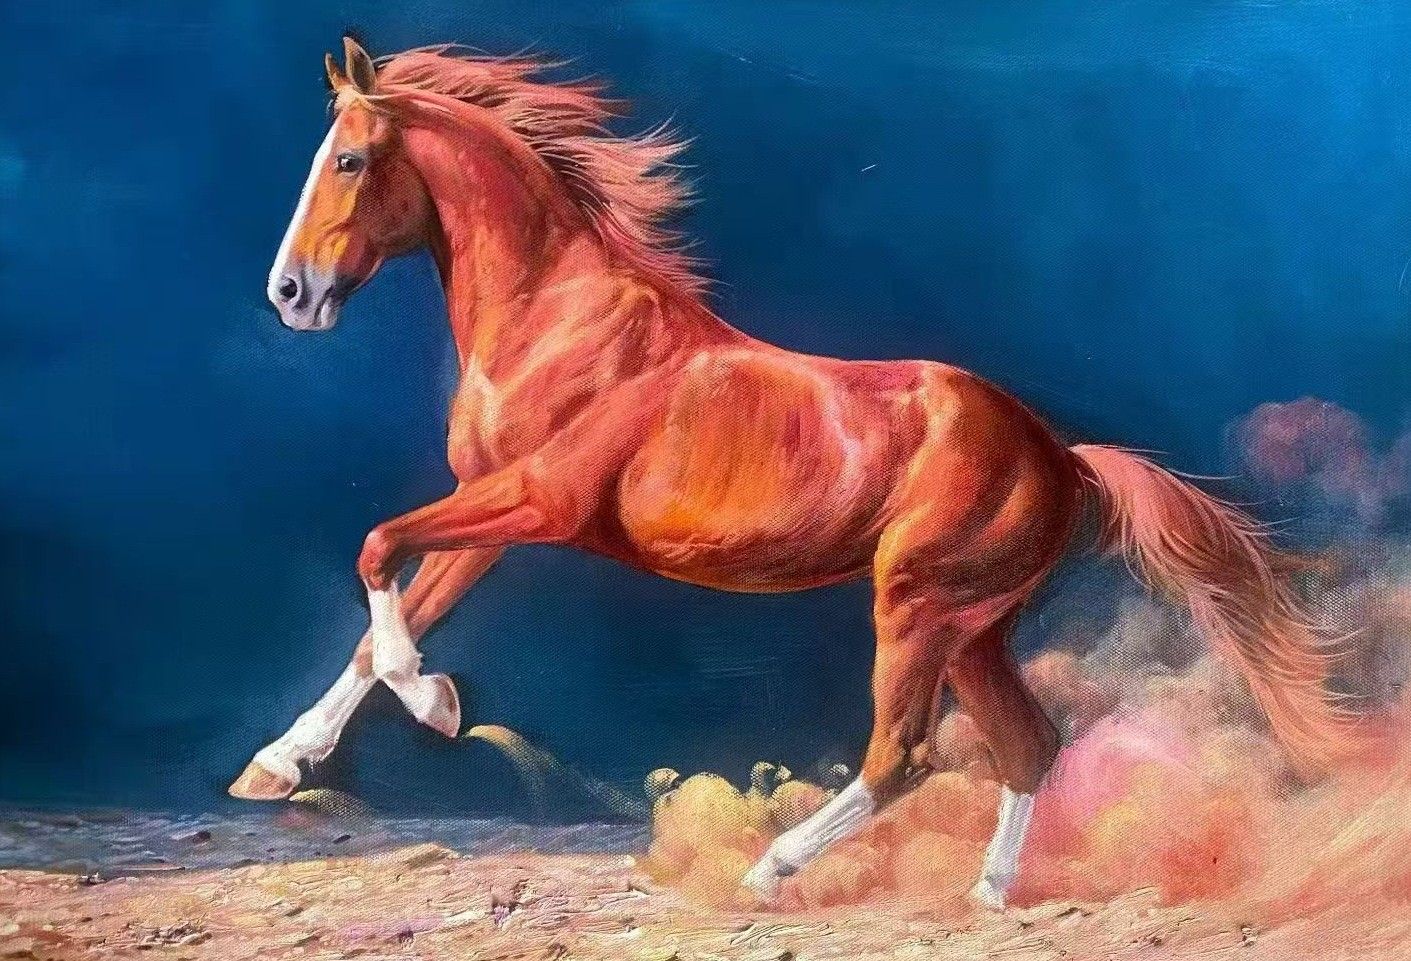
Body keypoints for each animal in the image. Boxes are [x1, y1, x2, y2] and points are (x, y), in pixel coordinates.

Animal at [232, 36, 1356, 909]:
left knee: (900, 756)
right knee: (1029, 743)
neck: (558, 314)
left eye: (349, 159)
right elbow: (385, 615)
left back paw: (769, 870)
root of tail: (1061, 455)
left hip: (915, 607)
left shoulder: (535, 505)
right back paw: (988, 893)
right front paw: (282, 761)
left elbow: (375, 547)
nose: (288, 294)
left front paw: (434, 704)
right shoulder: (493, 520)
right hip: (974, 626)